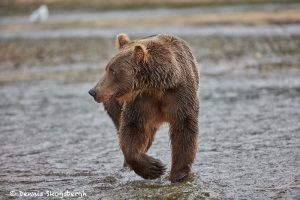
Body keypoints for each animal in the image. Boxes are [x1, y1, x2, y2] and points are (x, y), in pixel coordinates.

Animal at [90, 33, 200, 183]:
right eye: (107, 68)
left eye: (112, 70)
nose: (93, 91)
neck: (157, 87)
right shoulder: (141, 102)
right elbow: (133, 128)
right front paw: (154, 168)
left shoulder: (180, 95)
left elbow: (184, 128)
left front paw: (178, 174)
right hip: (115, 107)